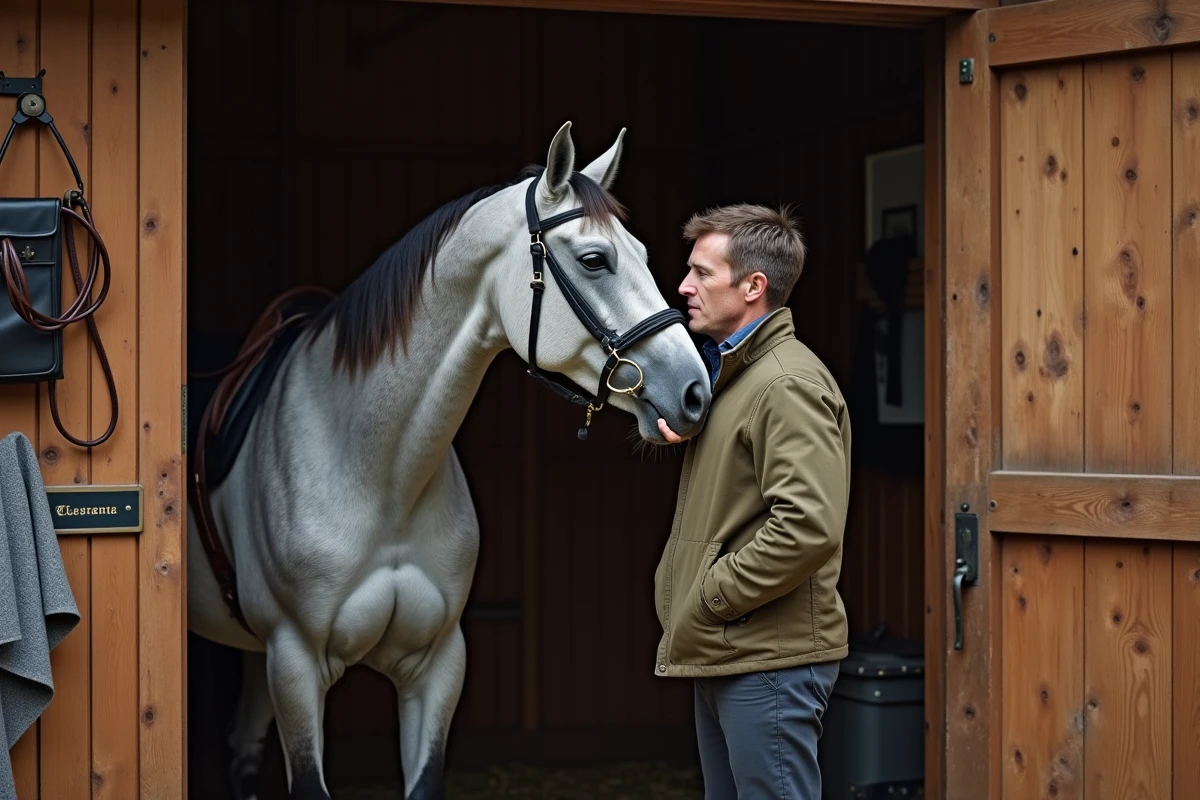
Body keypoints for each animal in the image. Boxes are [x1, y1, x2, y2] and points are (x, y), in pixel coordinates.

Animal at [185, 122, 714, 800]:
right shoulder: (296, 665)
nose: (694, 391)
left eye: (646, 257)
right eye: (595, 260)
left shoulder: (437, 666)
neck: (379, 473)